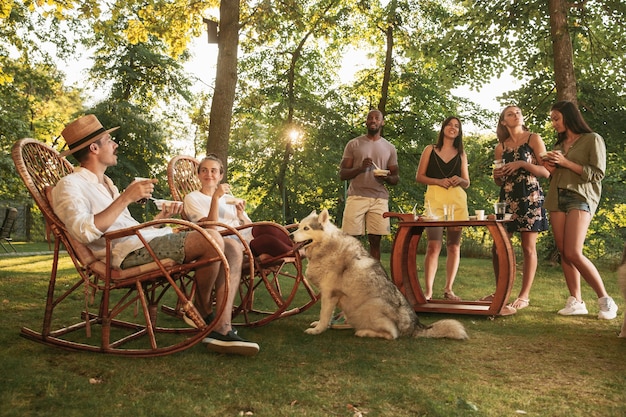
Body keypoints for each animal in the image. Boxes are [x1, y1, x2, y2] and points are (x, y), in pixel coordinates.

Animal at [294, 210, 468, 340]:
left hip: (369, 305)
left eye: (306, 228)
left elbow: (324, 314)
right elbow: (325, 315)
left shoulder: (330, 293)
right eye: (298, 226)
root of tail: (415, 325)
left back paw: (364, 332)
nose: (290, 235)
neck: (326, 245)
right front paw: (318, 325)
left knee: (392, 334)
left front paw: (318, 330)